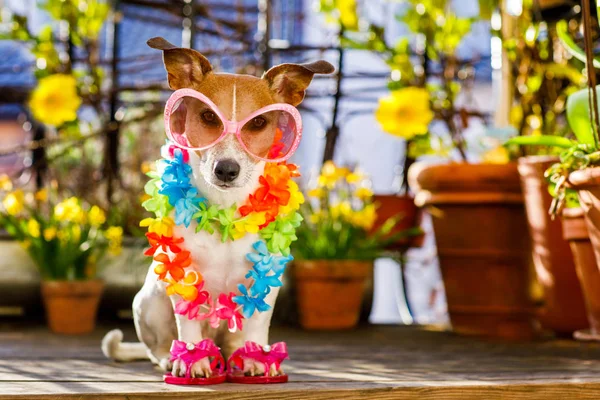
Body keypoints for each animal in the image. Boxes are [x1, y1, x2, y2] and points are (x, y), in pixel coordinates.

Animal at [102, 37, 332, 378]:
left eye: (259, 122)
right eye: (209, 117)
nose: (226, 169)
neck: (225, 211)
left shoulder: (266, 281)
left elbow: (257, 325)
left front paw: (256, 357)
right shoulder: (182, 276)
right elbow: (187, 322)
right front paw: (193, 360)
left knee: (232, 341)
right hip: (149, 300)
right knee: (159, 347)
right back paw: (175, 357)